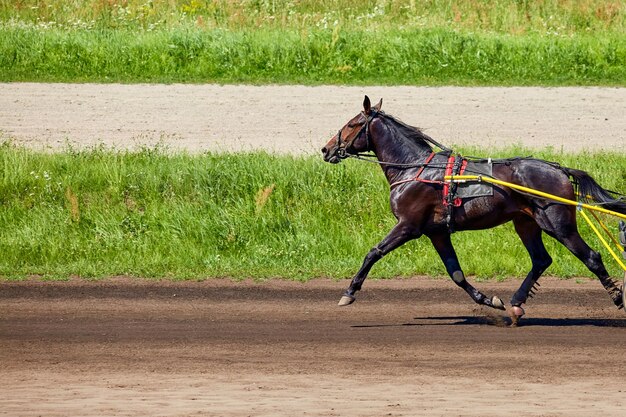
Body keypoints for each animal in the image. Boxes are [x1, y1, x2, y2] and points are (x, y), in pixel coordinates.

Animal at [322, 96, 624, 322]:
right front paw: (489, 300)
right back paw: (516, 303)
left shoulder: (408, 225)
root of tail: (559, 169)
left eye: (352, 124)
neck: (414, 167)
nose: (326, 150)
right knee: (541, 260)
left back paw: (618, 297)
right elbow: (455, 273)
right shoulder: (437, 233)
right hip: (526, 223)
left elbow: (373, 252)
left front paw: (349, 292)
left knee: (592, 257)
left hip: (558, 223)